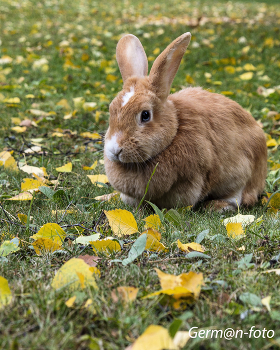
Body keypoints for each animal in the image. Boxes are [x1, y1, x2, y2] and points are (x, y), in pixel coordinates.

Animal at [103, 32, 266, 211]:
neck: (174, 131)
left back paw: (217, 206)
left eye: (145, 115)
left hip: (240, 174)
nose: (115, 149)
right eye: (111, 110)